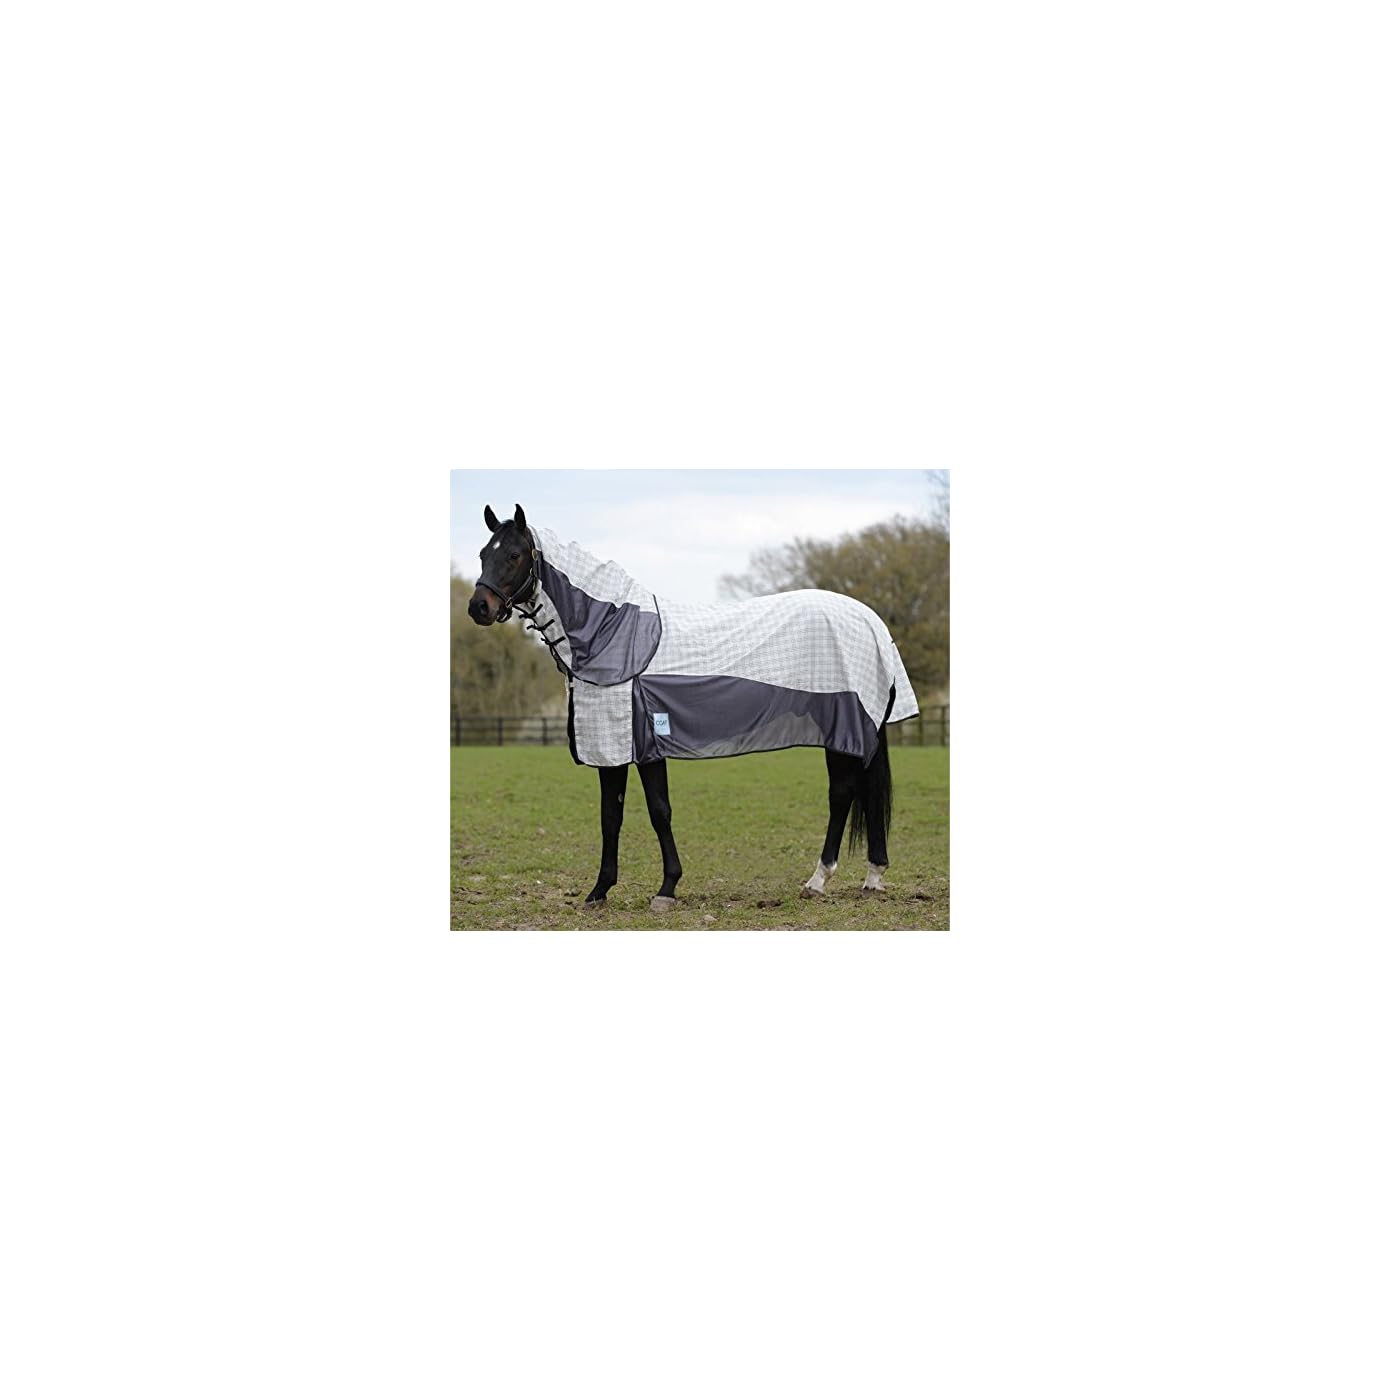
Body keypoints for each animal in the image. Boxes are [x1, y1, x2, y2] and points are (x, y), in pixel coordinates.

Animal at [468, 503, 920, 912]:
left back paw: (819, 879)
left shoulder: (644, 744)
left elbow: (659, 812)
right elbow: (610, 817)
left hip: (843, 728)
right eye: (483, 554)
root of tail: (872, 622)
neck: (610, 632)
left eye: (514, 554)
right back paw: (871, 876)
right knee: (863, 791)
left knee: (842, 794)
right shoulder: (610, 747)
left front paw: (667, 889)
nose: (479, 608)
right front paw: (599, 892)